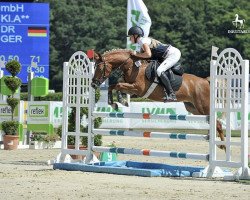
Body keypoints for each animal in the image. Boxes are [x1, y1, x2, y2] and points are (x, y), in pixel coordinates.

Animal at [91, 49, 225, 149]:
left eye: (99, 68)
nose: (93, 84)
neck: (132, 66)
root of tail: (205, 81)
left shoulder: (137, 89)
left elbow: (117, 85)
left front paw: (119, 101)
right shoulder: (132, 90)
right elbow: (114, 86)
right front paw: (116, 102)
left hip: (204, 107)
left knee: (218, 124)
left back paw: (223, 146)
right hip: (193, 108)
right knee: (213, 123)